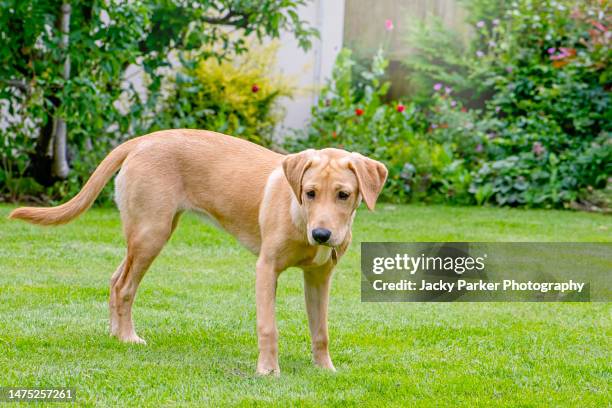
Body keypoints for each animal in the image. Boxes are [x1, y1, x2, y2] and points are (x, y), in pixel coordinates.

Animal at [8, 129, 388, 374]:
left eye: (343, 195)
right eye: (309, 193)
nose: (321, 235)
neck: (299, 215)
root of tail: (143, 139)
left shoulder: (319, 278)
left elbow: (321, 331)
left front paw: (326, 369)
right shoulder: (266, 269)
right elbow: (269, 327)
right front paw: (268, 371)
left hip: (142, 233)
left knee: (115, 280)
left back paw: (116, 335)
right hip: (152, 233)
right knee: (125, 287)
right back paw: (129, 337)